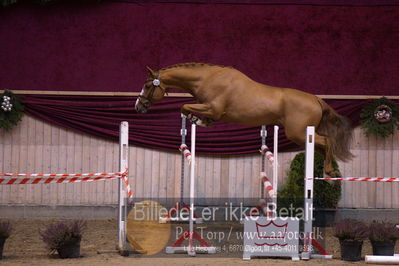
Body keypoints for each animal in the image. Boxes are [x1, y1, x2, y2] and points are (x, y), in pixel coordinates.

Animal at [135, 63, 354, 178]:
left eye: (147, 85)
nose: (138, 106)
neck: (208, 79)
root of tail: (316, 99)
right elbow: (187, 107)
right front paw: (201, 121)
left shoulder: (213, 108)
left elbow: (185, 107)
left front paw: (198, 120)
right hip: (304, 135)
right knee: (323, 146)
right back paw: (330, 172)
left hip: (298, 133)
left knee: (327, 142)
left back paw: (329, 171)